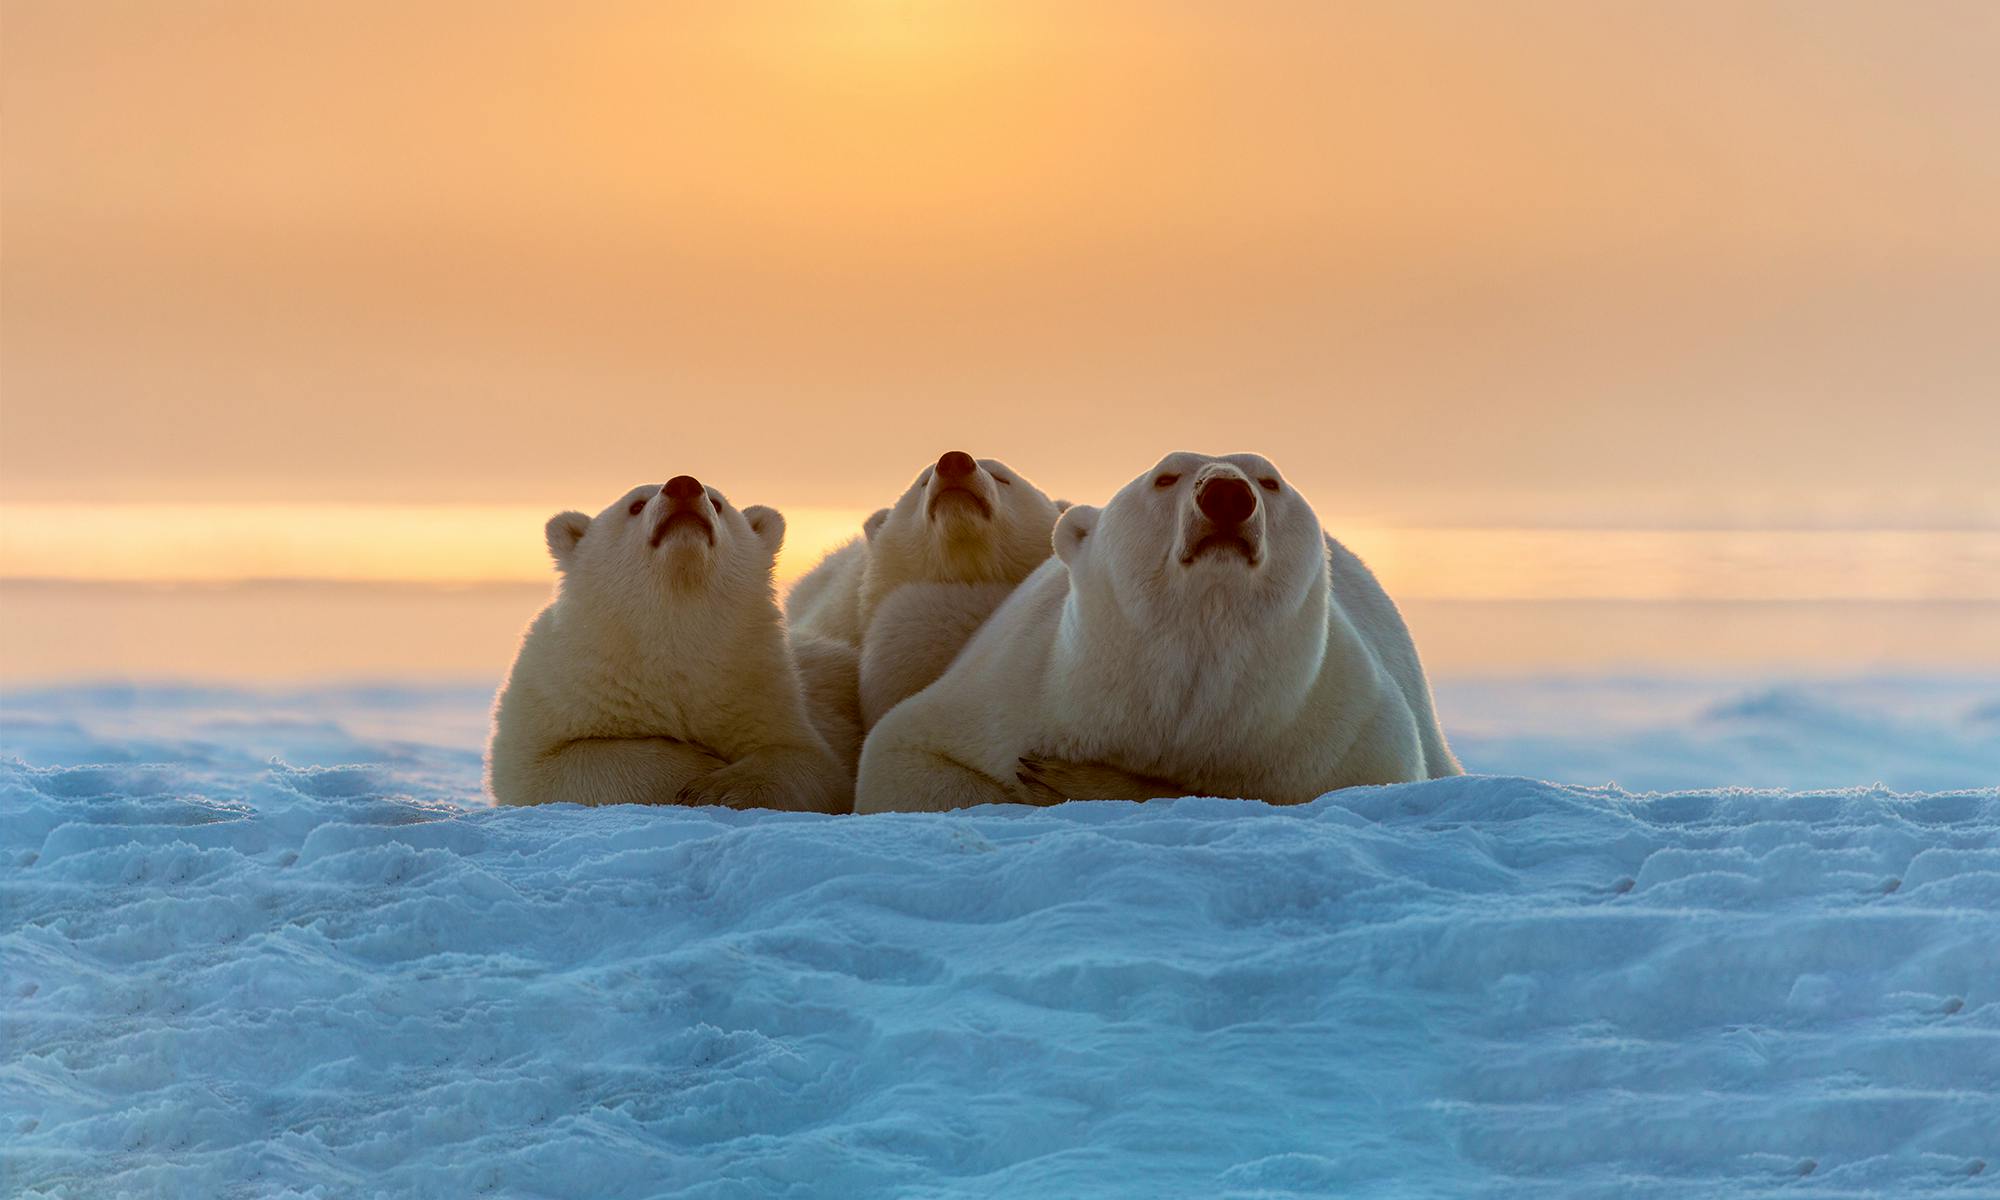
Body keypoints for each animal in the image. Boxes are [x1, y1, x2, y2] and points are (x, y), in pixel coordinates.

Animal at [496, 474, 856, 812]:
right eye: (636, 505)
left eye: (717, 502)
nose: (683, 485)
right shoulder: (562, 688)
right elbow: (550, 765)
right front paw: (699, 770)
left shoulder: (761, 690)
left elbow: (808, 762)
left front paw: (718, 787)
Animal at [852, 452, 1464, 816]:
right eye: (1165, 476)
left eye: (1270, 480)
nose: (1226, 494)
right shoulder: (1021, 687)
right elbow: (903, 756)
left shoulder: (1337, 727)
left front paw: (1080, 781)